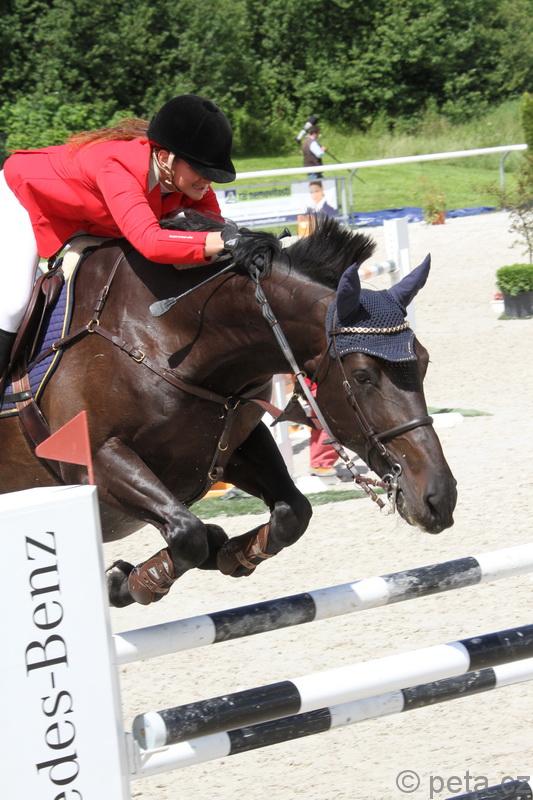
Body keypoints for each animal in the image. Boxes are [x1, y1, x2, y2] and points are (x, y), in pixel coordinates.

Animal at [0, 213, 457, 607]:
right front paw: (127, 582)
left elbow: (292, 513)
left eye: (424, 362)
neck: (166, 337)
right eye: (362, 376)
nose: (439, 498)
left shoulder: (231, 445)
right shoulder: (94, 459)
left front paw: (230, 552)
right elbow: (188, 533)